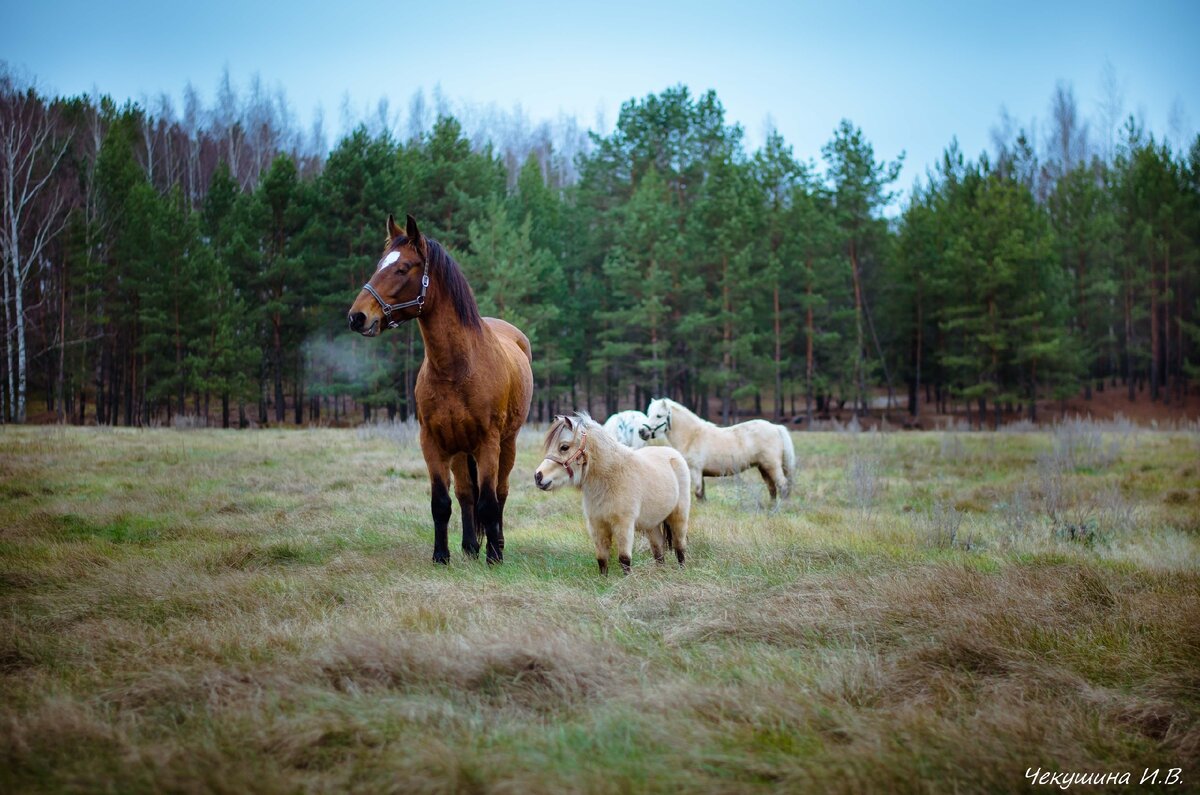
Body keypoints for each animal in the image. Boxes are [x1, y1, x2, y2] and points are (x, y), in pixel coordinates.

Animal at [350, 214, 532, 564]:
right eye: (380, 264)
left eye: (403, 268)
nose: (357, 316)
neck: (456, 370)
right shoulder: (432, 442)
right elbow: (442, 502)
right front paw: (441, 556)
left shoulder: (488, 443)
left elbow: (489, 502)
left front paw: (493, 557)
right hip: (460, 449)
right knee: (465, 494)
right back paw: (471, 547)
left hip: (507, 443)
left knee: (500, 493)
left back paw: (497, 545)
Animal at [537, 413, 696, 576]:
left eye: (564, 447)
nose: (538, 477)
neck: (610, 476)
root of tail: (674, 454)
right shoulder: (597, 526)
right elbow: (602, 559)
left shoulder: (624, 525)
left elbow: (624, 559)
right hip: (652, 524)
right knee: (658, 551)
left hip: (679, 516)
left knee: (679, 547)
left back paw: (682, 570)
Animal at [638, 398, 796, 504]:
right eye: (648, 413)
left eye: (659, 415)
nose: (641, 432)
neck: (692, 436)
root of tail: (775, 427)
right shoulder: (700, 473)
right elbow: (702, 494)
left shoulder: (695, 471)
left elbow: (698, 492)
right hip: (763, 467)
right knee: (772, 488)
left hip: (772, 466)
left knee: (782, 485)